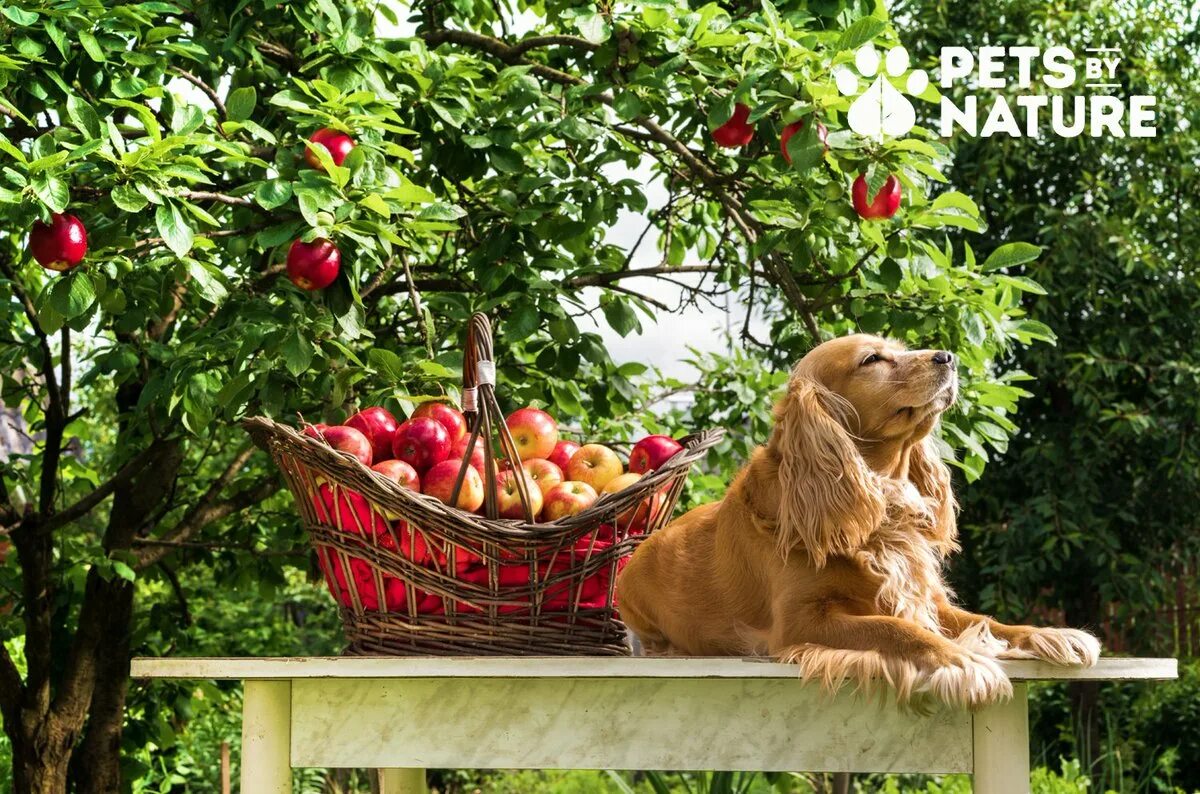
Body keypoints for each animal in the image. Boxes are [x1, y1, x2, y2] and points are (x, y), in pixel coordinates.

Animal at [619, 333, 1099, 710]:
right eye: (872, 360)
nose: (948, 356)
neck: (881, 499)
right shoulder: (801, 621)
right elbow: (896, 628)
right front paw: (962, 660)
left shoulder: (924, 599)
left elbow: (987, 620)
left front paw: (1050, 634)